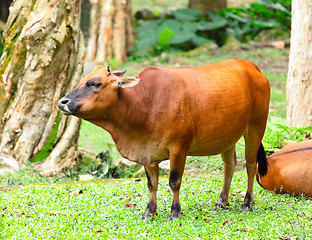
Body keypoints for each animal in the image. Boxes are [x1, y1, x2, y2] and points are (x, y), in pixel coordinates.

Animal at [58, 59, 270, 220]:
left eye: (95, 83)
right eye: (81, 81)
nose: (62, 102)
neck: (145, 104)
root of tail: (250, 65)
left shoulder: (178, 148)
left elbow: (174, 181)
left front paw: (175, 212)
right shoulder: (146, 153)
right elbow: (152, 184)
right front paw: (149, 211)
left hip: (255, 127)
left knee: (250, 165)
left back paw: (247, 202)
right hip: (228, 136)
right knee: (230, 165)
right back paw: (222, 201)